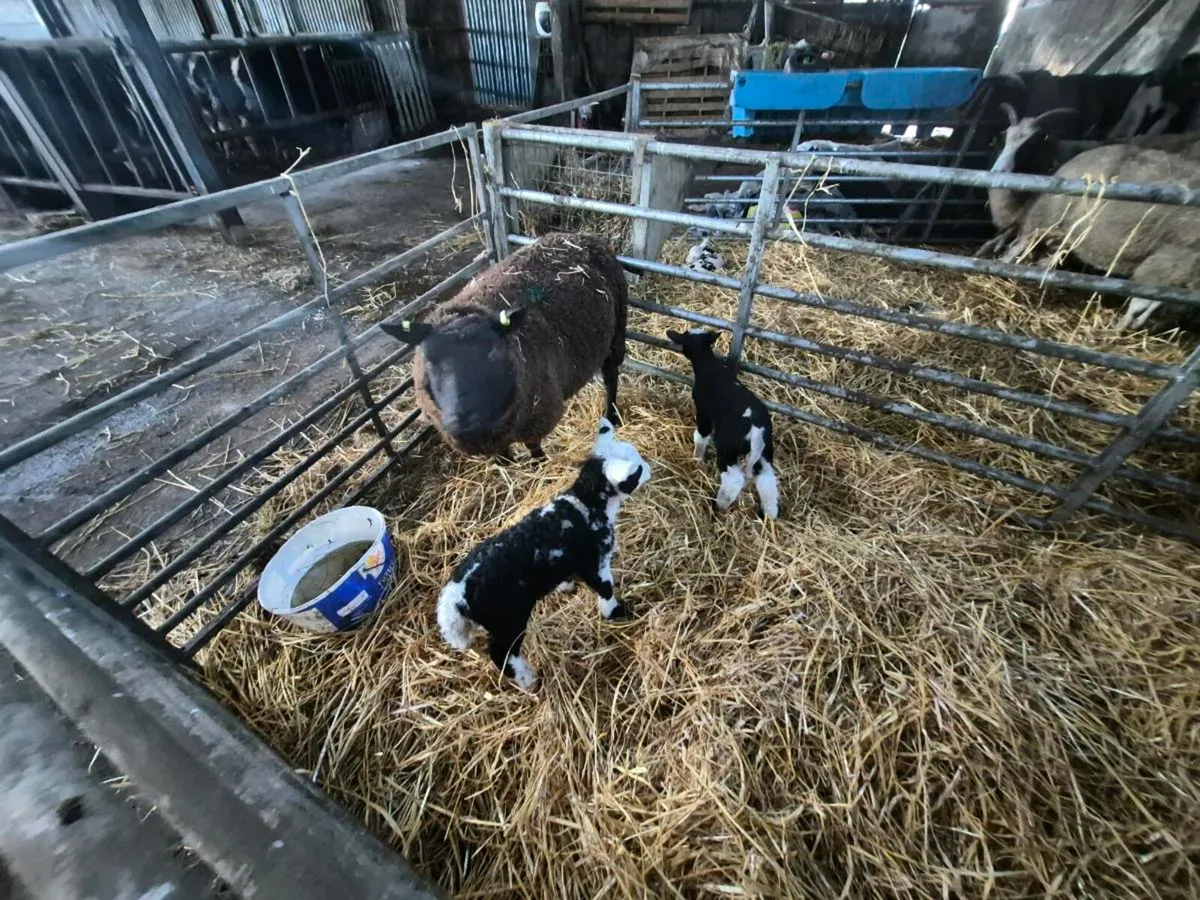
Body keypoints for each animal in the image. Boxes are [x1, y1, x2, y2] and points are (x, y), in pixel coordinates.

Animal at [380, 232, 627, 462]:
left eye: (493, 353)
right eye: (428, 360)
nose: (467, 429)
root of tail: (576, 235)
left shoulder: (538, 416)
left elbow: (534, 447)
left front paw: (538, 464)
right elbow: (501, 455)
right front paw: (507, 463)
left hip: (617, 330)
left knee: (611, 376)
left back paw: (612, 416)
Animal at [436, 417, 651, 689]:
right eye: (637, 471)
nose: (650, 468)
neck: (585, 503)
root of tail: (455, 597)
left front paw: (567, 588)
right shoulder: (595, 562)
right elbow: (605, 589)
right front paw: (616, 612)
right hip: (507, 620)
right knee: (502, 654)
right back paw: (527, 679)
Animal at [666, 329, 779, 519]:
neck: (710, 368)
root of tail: (756, 429)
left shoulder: (703, 413)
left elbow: (701, 436)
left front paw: (697, 458)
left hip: (728, 450)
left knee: (734, 480)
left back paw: (719, 505)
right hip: (765, 452)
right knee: (767, 480)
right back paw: (769, 514)